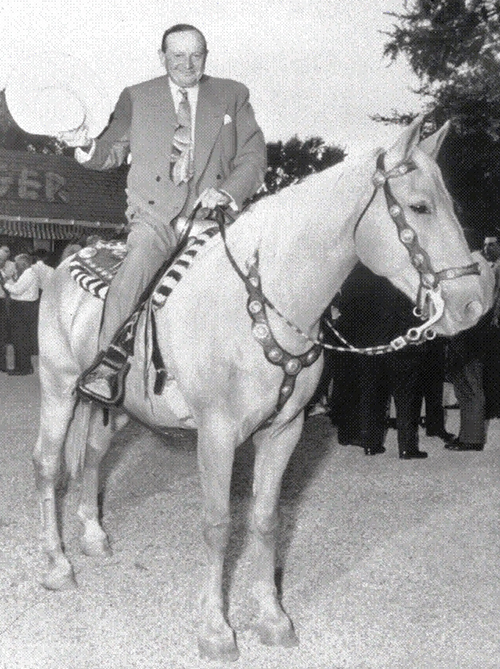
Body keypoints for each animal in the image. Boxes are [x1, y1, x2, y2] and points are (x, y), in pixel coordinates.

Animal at [34, 118, 492, 656]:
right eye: (420, 206)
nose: (475, 303)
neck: (261, 300)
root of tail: (65, 262)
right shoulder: (216, 436)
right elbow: (218, 525)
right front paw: (215, 628)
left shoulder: (283, 432)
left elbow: (266, 520)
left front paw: (272, 618)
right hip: (58, 389)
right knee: (48, 466)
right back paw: (57, 564)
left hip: (117, 405)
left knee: (93, 454)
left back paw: (93, 535)